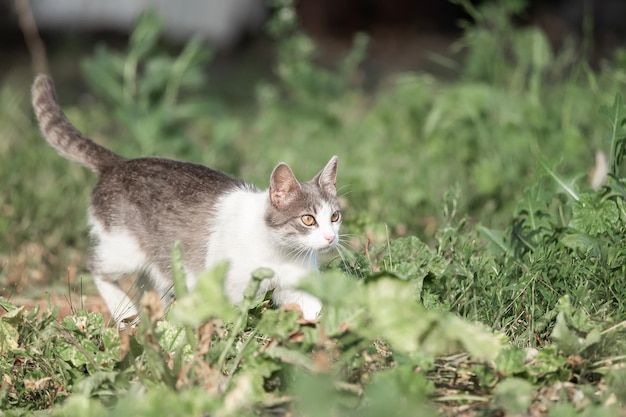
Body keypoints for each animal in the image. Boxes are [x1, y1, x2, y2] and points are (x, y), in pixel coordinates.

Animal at [30, 75, 342, 320]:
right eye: (308, 219)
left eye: (335, 216)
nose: (331, 238)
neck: (281, 253)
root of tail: (119, 163)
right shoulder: (227, 290)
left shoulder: (298, 290)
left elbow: (317, 314)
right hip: (124, 250)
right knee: (96, 266)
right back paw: (123, 310)